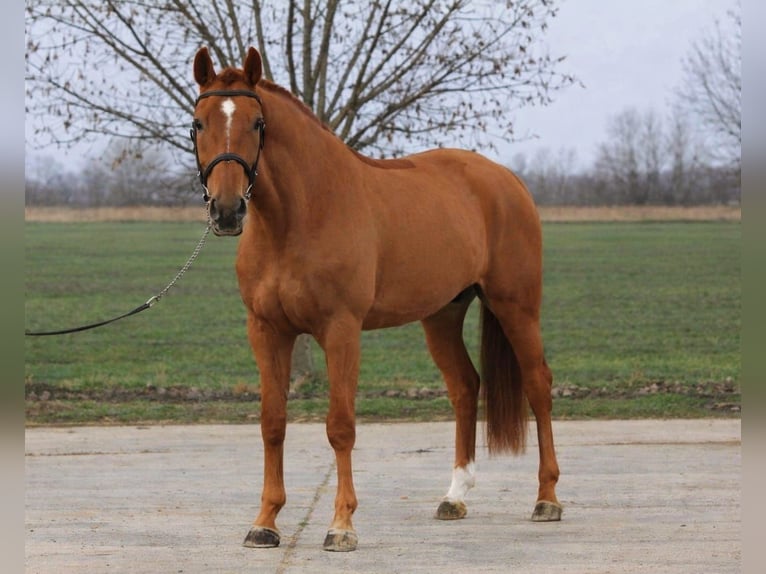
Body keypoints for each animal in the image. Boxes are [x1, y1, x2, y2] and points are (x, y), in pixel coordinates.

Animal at [190, 46, 561, 552]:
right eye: (198, 123)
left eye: (257, 123)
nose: (227, 211)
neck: (300, 215)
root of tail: (509, 181)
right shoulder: (266, 331)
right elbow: (272, 423)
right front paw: (265, 522)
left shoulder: (341, 329)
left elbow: (340, 426)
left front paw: (341, 524)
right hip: (442, 315)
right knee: (465, 387)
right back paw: (454, 496)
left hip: (516, 306)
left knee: (538, 384)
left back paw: (547, 498)